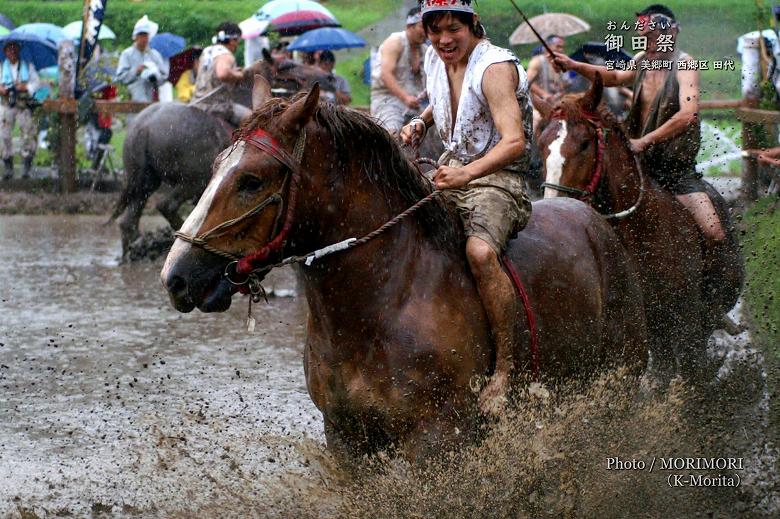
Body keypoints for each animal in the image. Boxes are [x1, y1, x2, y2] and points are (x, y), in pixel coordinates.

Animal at [160, 82, 644, 464]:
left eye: (251, 181)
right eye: (215, 166)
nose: (177, 277)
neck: (384, 300)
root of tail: (593, 219)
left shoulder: (437, 438)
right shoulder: (345, 438)